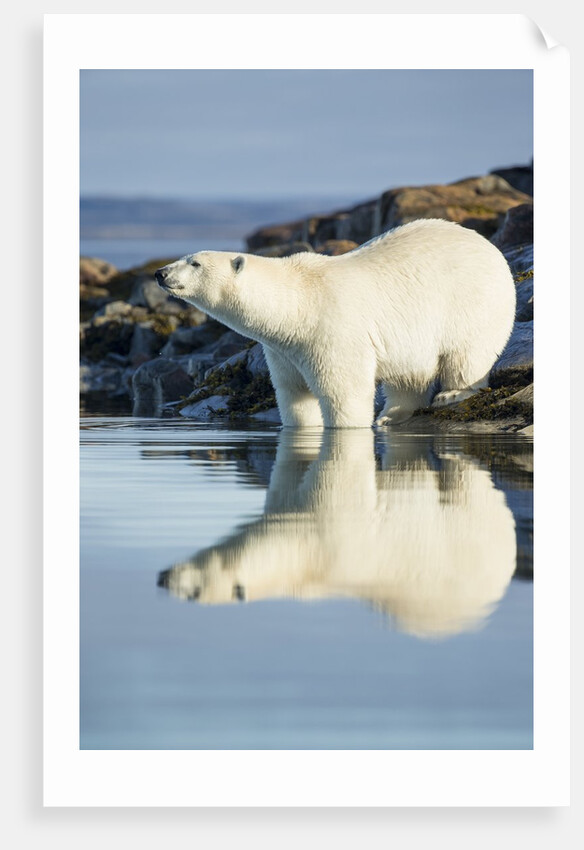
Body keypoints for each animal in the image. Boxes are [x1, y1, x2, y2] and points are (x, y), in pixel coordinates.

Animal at [155, 218, 516, 428]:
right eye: (185, 258)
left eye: (195, 263)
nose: (161, 273)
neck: (297, 303)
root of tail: (490, 246)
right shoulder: (284, 350)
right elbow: (294, 394)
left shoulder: (332, 329)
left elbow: (344, 391)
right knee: (408, 375)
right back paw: (391, 415)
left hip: (470, 300)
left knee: (467, 353)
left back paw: (451, 394)